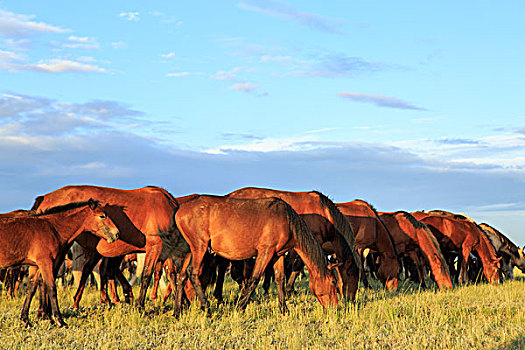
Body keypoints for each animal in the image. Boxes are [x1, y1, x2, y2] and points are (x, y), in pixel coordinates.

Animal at [0, 200, 118, 328]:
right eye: (102, 216)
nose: (116, 234)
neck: (53, 229)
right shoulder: (45, 263)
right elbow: (52, 288)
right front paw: (60, 320)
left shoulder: (35, 266)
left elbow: (31, 290)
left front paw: (25, 320)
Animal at [171, 196, 336, 316]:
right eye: (333, 282)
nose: (335, 308)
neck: (287, 221)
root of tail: (180, 210)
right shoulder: (265, 252)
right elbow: (254, 279)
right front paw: (240, 307)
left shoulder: (278, 255)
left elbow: (280, 279)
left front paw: (284, 309)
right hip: (200, 248)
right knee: (193, 273)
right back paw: (207, 309)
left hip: (190, 250)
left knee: (181, 276)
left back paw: (177, 312)